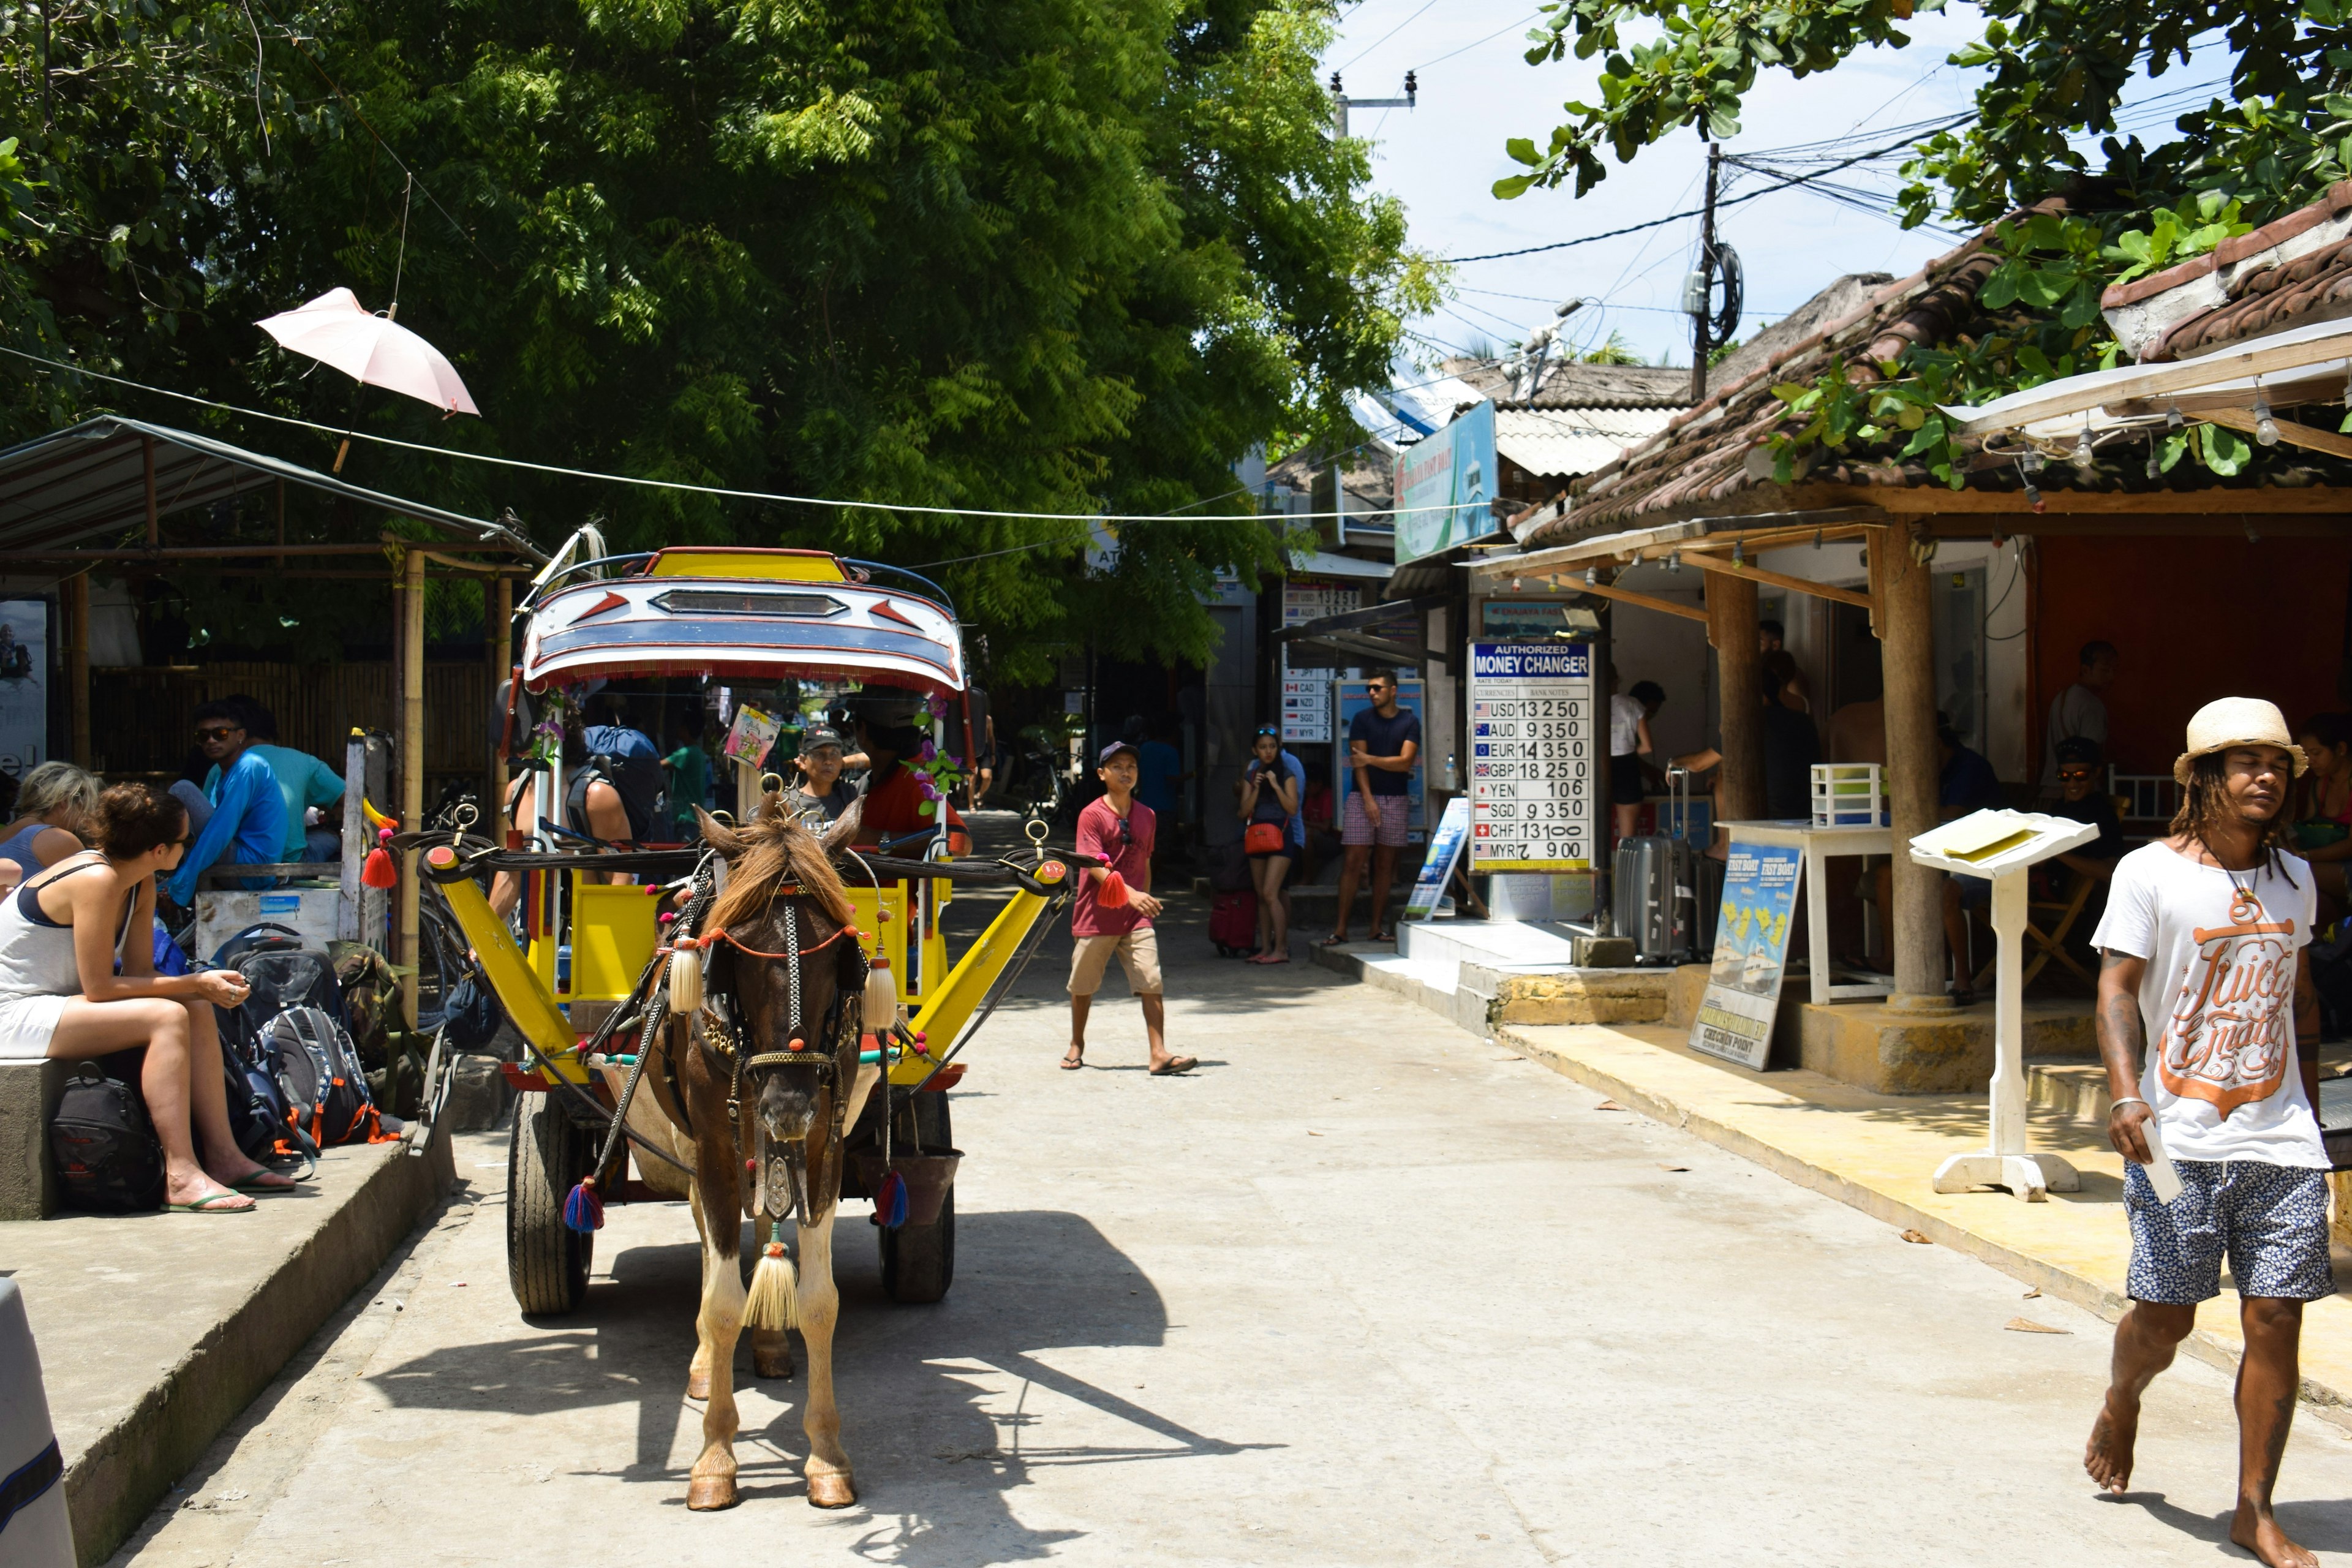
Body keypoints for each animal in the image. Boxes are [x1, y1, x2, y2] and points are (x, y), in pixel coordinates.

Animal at [616, 799, 884, 1504]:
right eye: (734, 949)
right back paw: (708, 1364)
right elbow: (720, 1300)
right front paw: (714, 1458)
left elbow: (819, 1300)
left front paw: (826, 1455)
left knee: (765, 1221)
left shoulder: (823, 1143)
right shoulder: (713, 1143)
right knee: (710, 1232)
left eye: (839, 953)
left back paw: (768, 1343)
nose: (788, 1103)